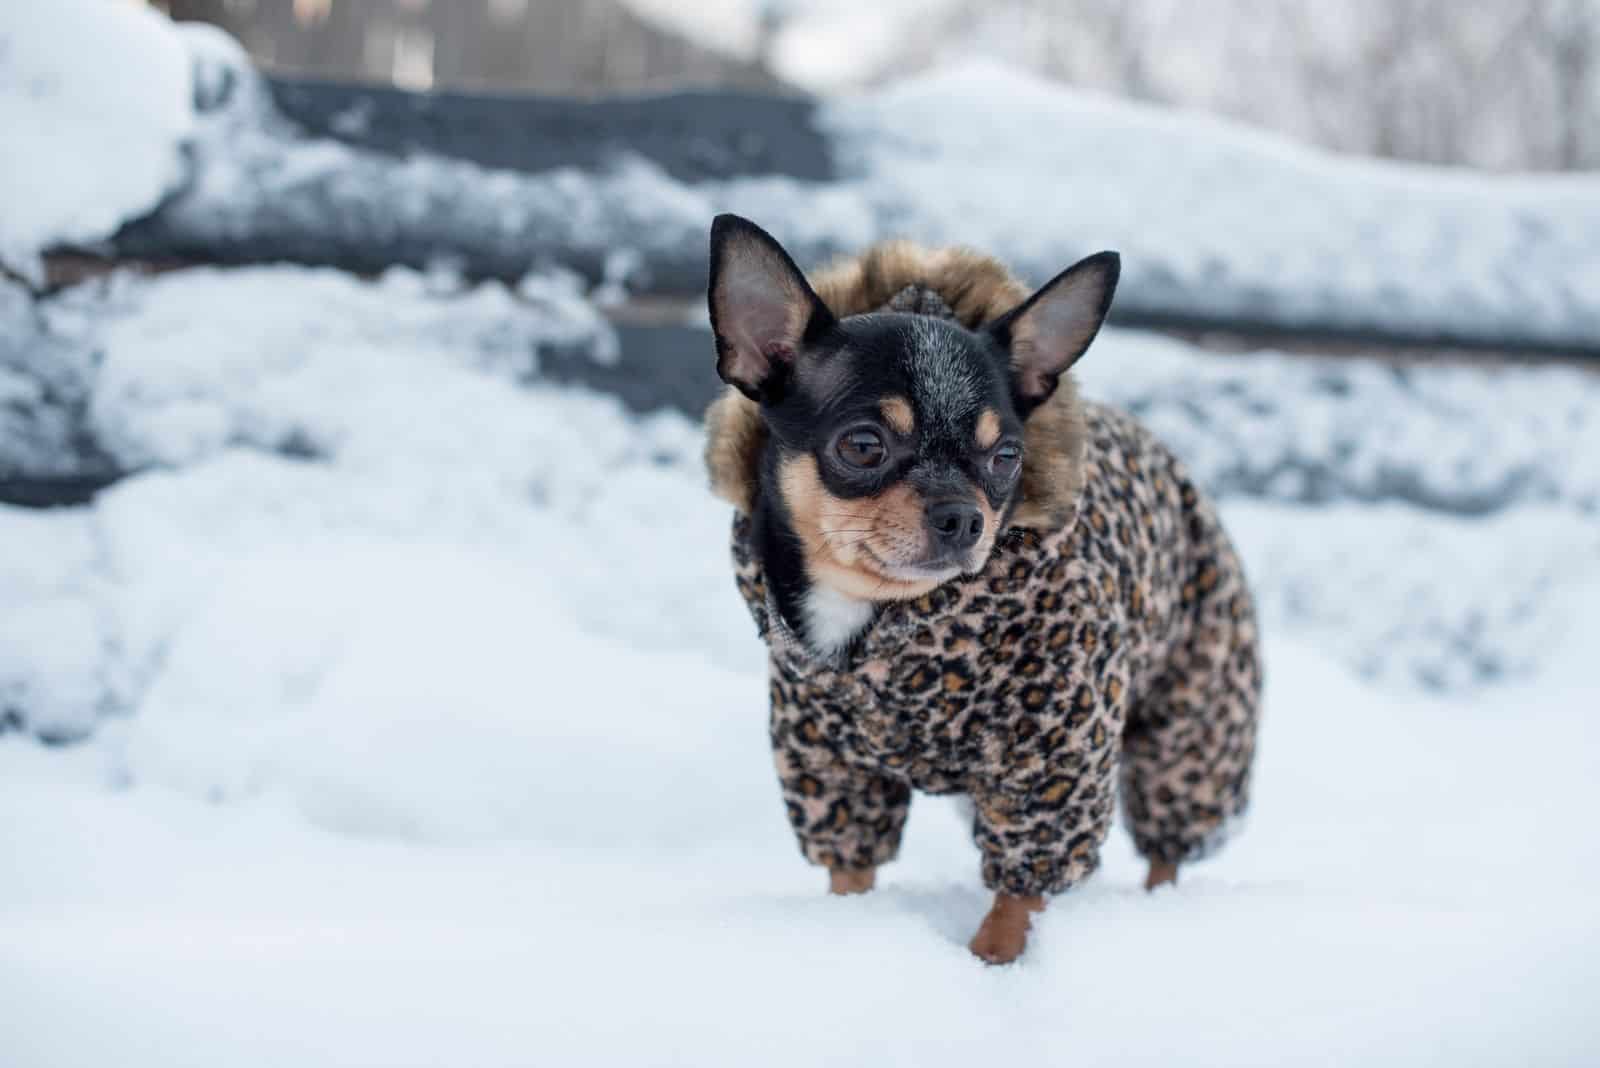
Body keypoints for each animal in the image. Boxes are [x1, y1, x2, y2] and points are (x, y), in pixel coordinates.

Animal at [700, 212, 1260, 965]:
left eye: (1007, 458)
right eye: (862, 445)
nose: (963, 516)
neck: (877, 620)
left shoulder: (1050, 766)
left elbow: (1020, 891)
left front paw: (995, 964)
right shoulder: (830, 765)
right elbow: (851, 870)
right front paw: (851, 932)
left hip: (1192, 721)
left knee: (1168, 843)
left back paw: (1157, 912)